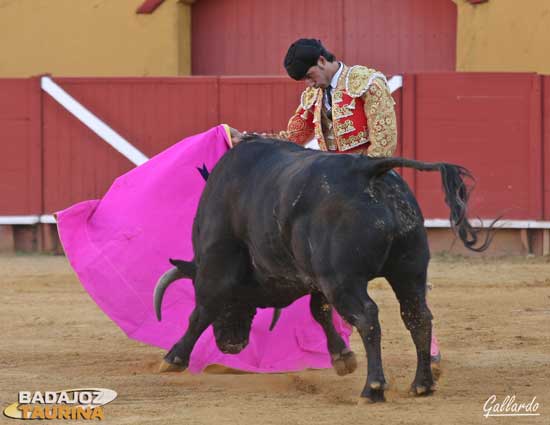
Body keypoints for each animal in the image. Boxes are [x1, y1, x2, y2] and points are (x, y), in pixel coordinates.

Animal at [153, 136, 494, 400]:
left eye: (235, 303)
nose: (231, 345)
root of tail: (368, 171)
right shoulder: (317, 279)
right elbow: (321, 312)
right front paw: (342, 358)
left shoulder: (216, 266)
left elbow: (202, 311)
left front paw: (172, 359)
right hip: (408, 270)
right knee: (417, 315)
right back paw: (422, 384)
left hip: (345, 280)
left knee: (368, 316)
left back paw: (373, 388)